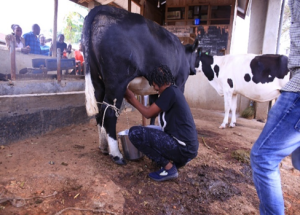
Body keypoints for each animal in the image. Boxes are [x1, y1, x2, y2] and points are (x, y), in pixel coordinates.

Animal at [82, 5, 199, 165]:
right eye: (197, 55)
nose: (196, 69)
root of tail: (102, 8)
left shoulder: (156, 89)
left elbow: (154, 111)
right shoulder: (180, 83)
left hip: (97, 81)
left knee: (100, 112)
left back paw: (104, 147)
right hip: (117, 81)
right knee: (110, 112)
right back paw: (116, 154)